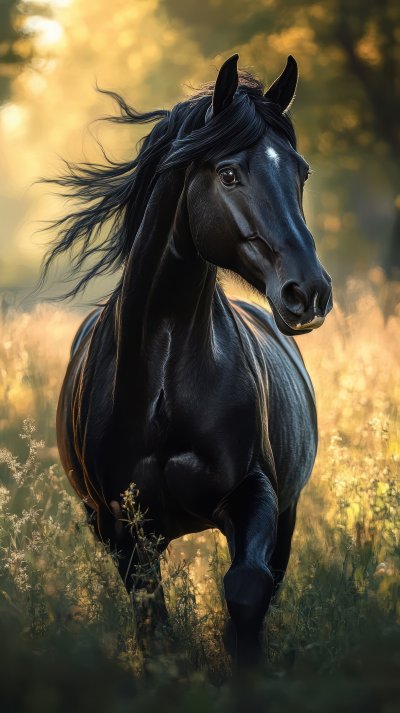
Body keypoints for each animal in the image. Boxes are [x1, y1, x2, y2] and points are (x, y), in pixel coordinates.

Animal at [44, 54, 332, 667]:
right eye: (228, 174)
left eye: (300, 173)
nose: (309, 293)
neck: (161, 383)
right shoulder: (120, 527)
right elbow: (153, 621)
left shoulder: (255, 495)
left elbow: (247, 590)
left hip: (288, 514)